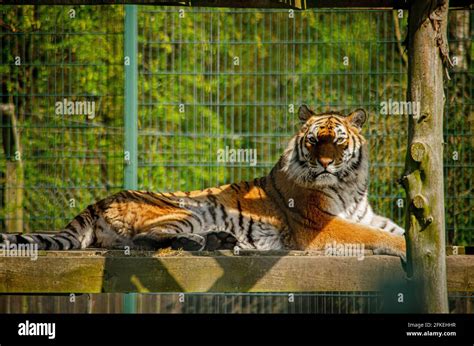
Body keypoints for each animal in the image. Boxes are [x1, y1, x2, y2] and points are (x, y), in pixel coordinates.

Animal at [1, 105, 406, 256]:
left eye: (337, 141)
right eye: (312, 141)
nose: (324, 163)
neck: (349, 186)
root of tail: (98, 201)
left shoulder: (365, 214)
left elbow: (392, 227)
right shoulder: (320, 225)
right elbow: (374, 236)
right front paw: (402, 249)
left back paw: (221, 240)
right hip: (185, 210)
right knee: (142, 240)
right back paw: (204, 241)